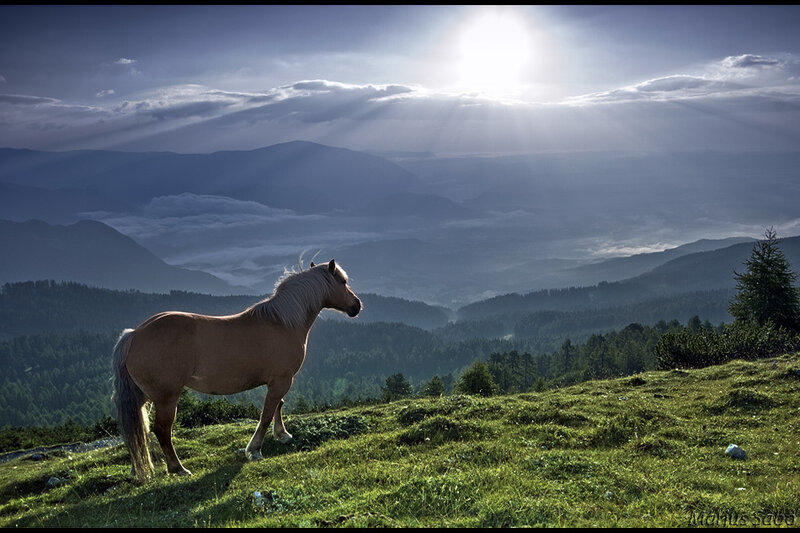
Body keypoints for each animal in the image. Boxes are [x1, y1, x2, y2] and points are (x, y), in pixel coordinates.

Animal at [111, 259, 361, 482]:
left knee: (138, 430)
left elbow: (278, 406)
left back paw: (138, 469)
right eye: (342, 281)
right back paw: (178, 468)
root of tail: (133, 335)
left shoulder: (279, 381)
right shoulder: (281, 380)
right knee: (161, 430)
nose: (357, 305)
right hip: (166, 398)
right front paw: (255, 450)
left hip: (144, 397)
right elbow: (266, 414)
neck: (282, 323)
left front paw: (282, 435)